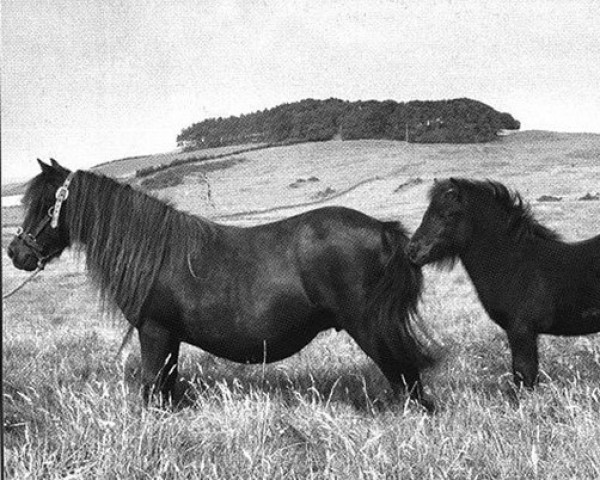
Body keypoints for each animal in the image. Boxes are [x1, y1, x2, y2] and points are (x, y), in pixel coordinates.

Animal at [5, 159, 436, 410]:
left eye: (46, 204)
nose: (16, 253)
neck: (154, 251)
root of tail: (383, 230)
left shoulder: (154, 331)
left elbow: (151, 385)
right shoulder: (169, 337)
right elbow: (166, 386)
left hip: (371, 328)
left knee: (406, 377)